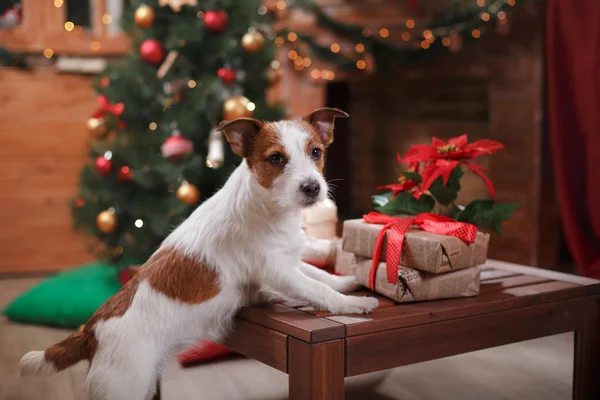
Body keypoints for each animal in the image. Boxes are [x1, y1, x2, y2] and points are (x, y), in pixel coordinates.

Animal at [19, 108, 380, 398]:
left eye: (316, 152)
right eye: (277, 158)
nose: (312, 187)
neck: (269, 209)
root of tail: (90, 333)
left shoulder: (289, 259)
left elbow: (318, 275)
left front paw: (348, 282)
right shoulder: (276, 269)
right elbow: (316, 287)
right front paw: (353, 305)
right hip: (123, 388)